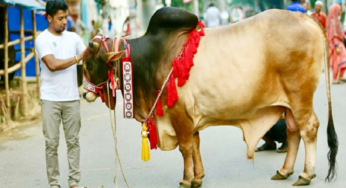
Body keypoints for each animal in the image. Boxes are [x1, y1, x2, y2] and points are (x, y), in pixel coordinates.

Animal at [82, 7, 338, 188]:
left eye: (89, 63)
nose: (84, 93)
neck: (152, 57)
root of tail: (306, 18)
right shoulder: (190, 117)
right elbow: (195, 145)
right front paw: (198, 176)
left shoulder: (179, 115)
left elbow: (185, 148)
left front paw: (186, 179)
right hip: (289, 104)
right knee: (294, 131)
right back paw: (285, 171)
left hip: (300, 97)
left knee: (308, 128)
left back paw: (306, 174)